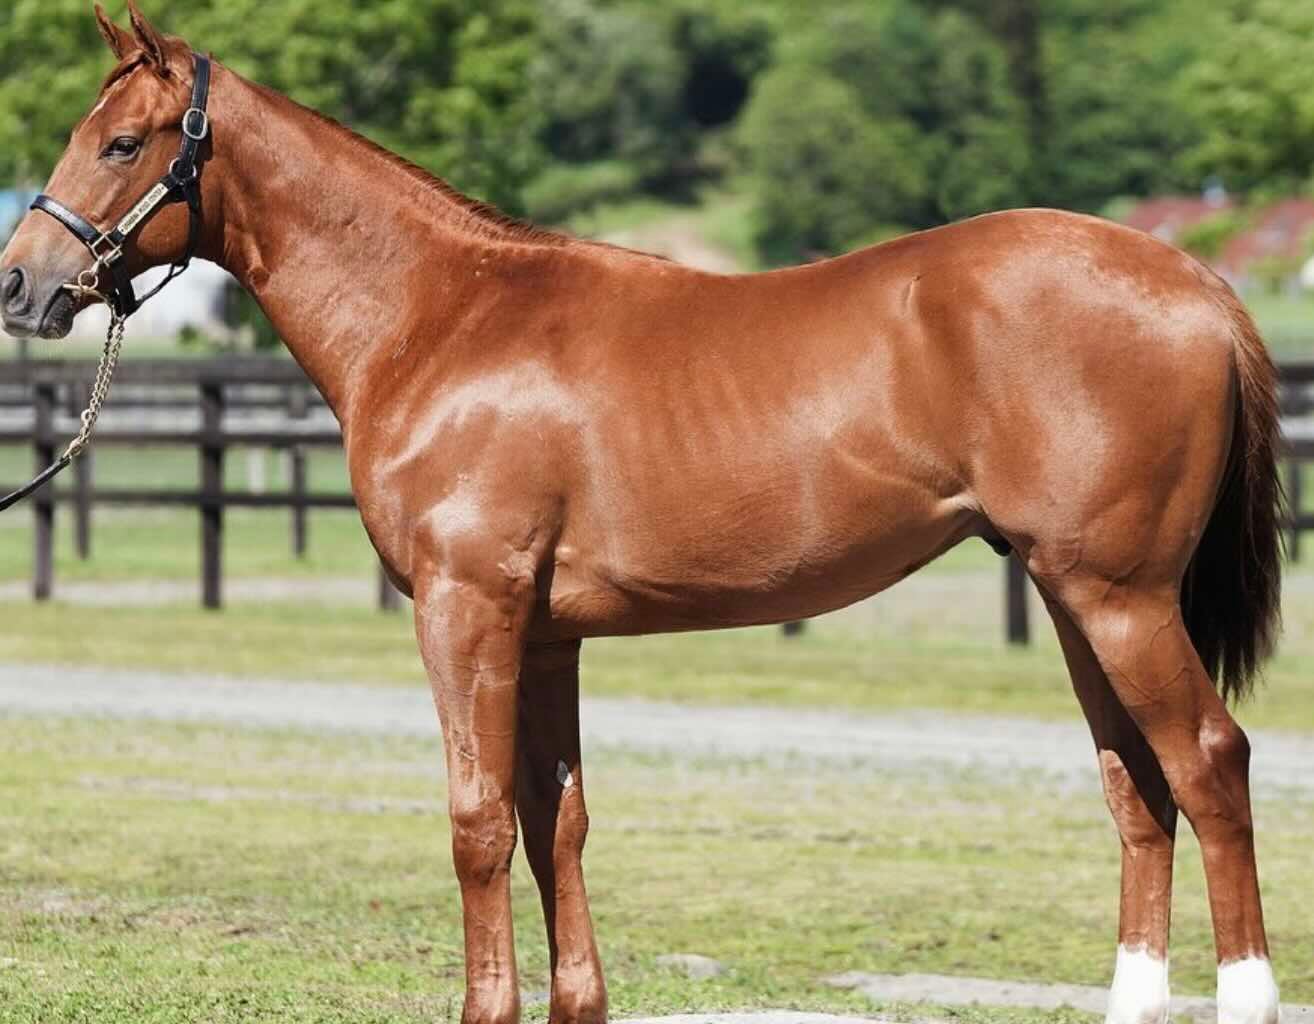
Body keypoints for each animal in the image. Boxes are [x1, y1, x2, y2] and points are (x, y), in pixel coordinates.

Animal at [0, 6, 1286, 1024]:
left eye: (121, 142)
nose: (21, 284)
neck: (444, 316)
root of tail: (1197, 282)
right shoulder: (547, 634)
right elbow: (552, 820)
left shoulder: (466, 612)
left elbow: (476, 820)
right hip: (1074, 598)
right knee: (1138, 789)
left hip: (1120, 600)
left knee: (1209, 765)